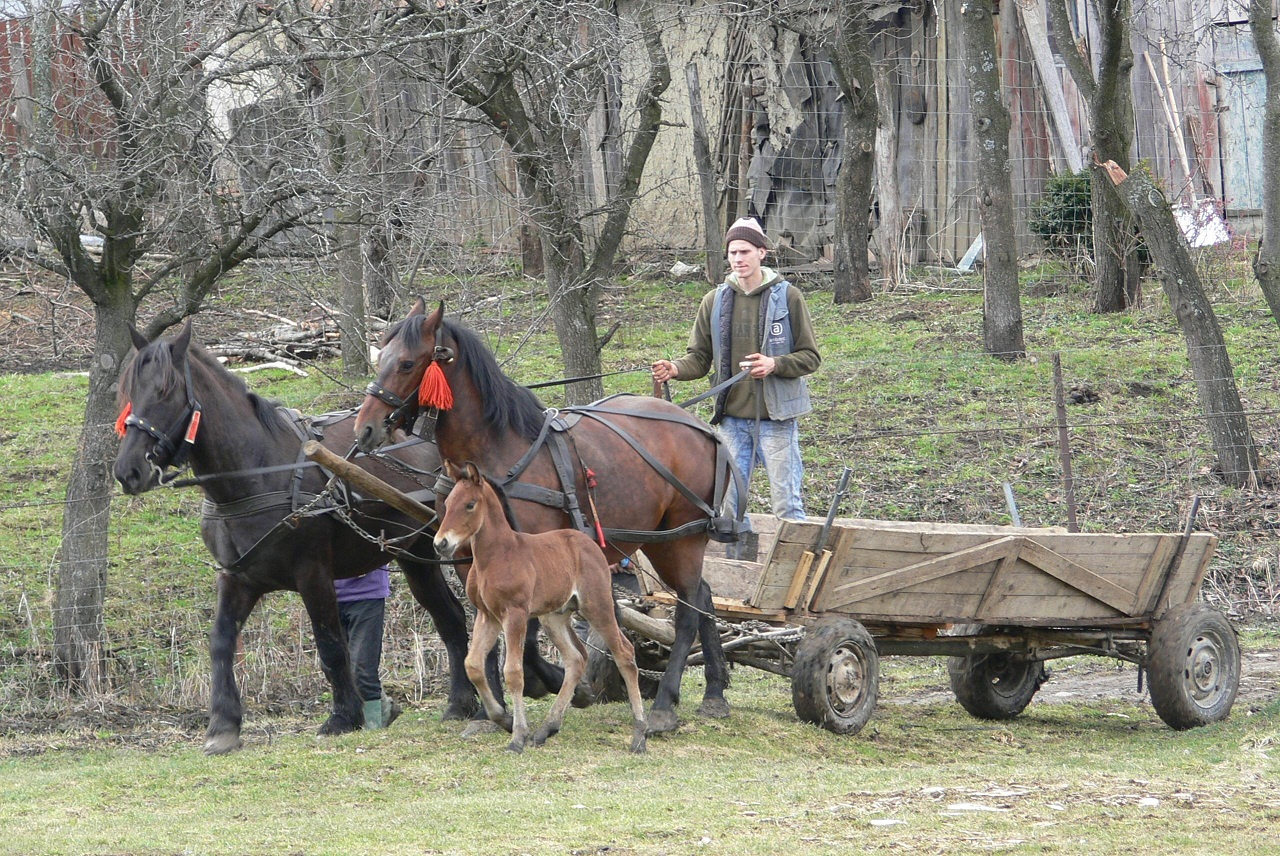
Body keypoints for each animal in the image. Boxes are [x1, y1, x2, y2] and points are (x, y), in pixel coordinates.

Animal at [113, 323, 560, 752]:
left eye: (164, 390)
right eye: (127, 393)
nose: (128, 470)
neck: (257, 471)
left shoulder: (313, 572)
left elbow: (330, 645)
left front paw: (344, 716)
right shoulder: (236, 577)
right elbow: (221, 640)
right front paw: (223, 726)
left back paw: (493, 702)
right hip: (415, 553)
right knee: (450, 618)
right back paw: (459, 703)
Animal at [437, 460, 650, 752]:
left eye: (470, 504)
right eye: (447, 503)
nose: (441, 543)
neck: (496, 556)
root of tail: (589, 543)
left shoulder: (515, 613)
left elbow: (513, 672)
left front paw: (517, 736)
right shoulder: (488, 615)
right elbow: (473, 665)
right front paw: (503, 719)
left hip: (597, 605)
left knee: (624, 653)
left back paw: (639, 733)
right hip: (554, 617)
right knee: (576, 658)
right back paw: (547, 728)